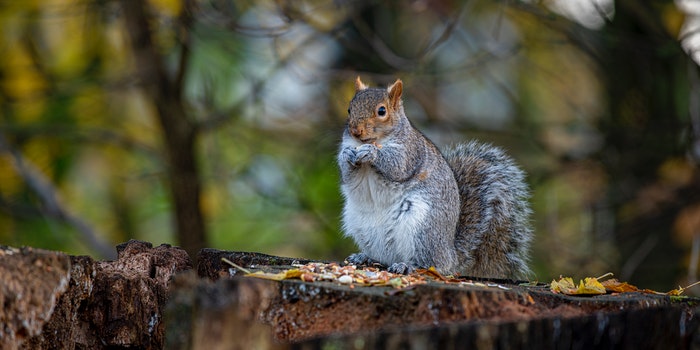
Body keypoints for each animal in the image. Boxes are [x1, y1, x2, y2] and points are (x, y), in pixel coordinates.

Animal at [338, 76, 532, 278]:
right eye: (349, 109)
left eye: (382, 111)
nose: (355, 131)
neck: (374, 141)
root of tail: (450, 254)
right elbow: (347, 175)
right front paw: (347, 155)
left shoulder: (410, 152)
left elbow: (397, 167)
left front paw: (371, 153)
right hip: (362, 226)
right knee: (383, 256)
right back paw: (364, 257)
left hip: (422, 228)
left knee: (430, 263)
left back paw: (408, 266)